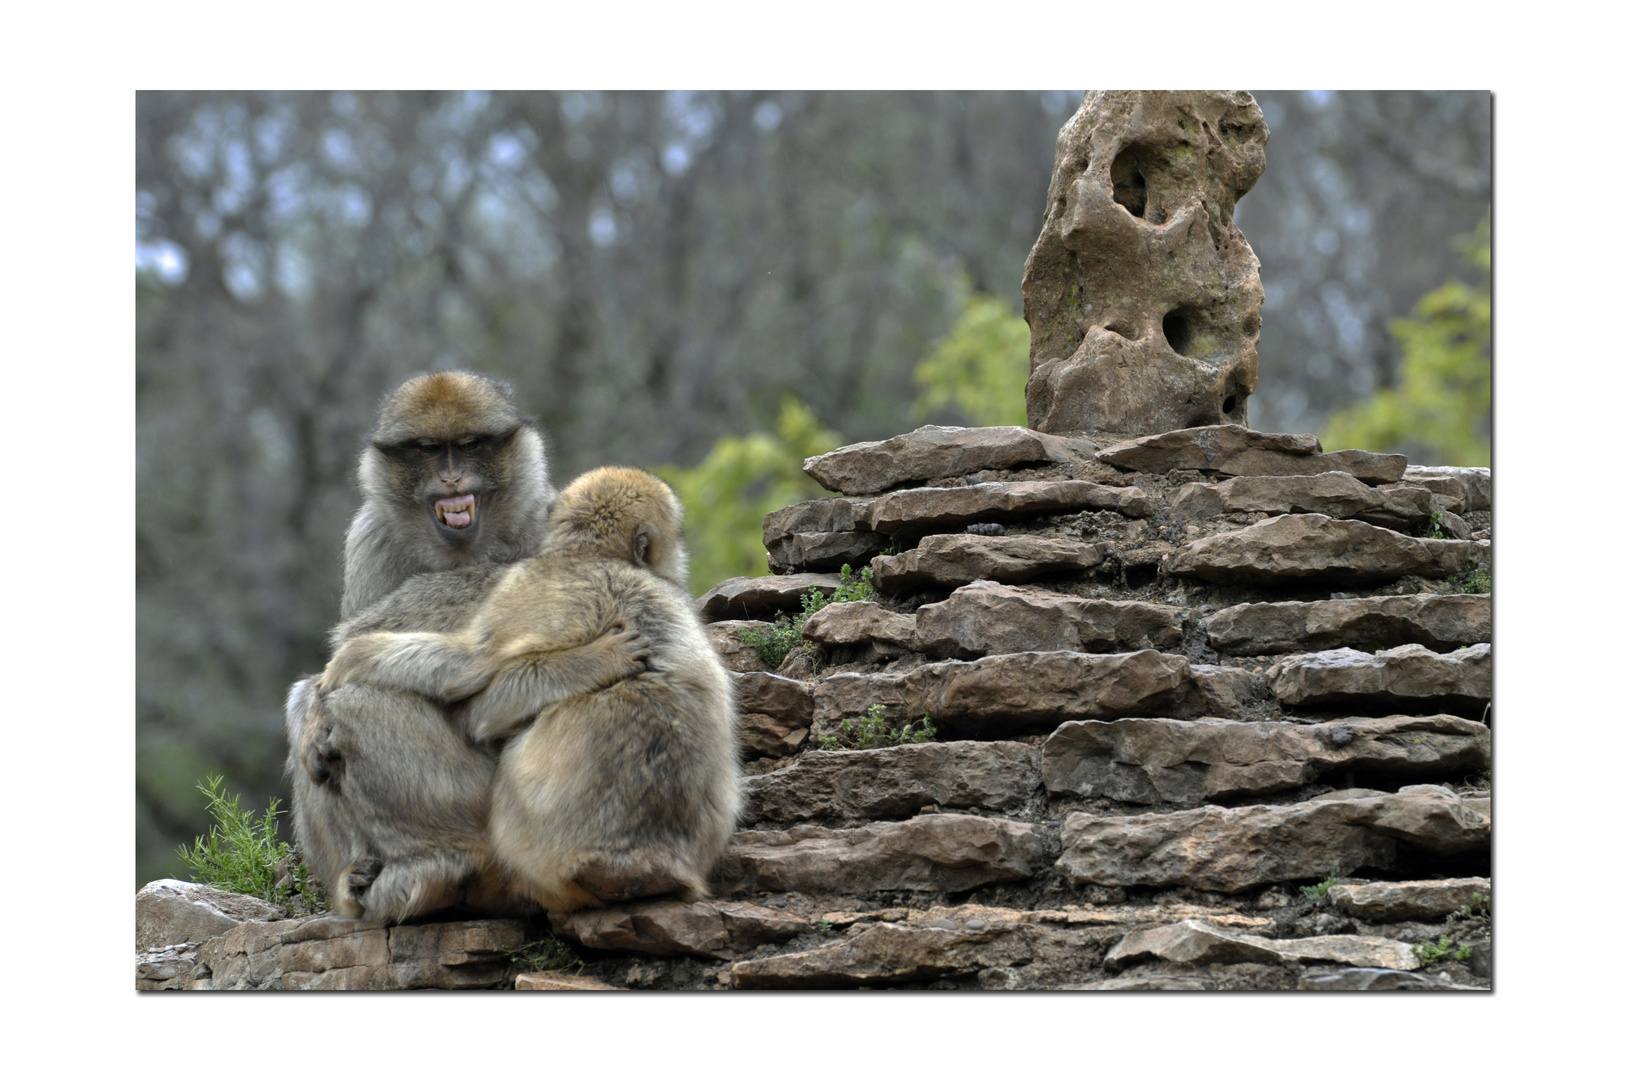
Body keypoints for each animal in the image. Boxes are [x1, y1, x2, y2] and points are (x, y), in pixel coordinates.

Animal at [292, 370, 565, 917]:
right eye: (429, 450)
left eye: (469, 446)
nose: (453, 479)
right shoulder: (370, 540)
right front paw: (312, 713)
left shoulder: (545, 516)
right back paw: (353, 884)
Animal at [320, 468, 741, 917]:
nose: (679, 561)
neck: (588, 555)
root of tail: (637, 858)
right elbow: (473, 670)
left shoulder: (518, 580)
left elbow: (474, 682)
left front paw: (352, 656)